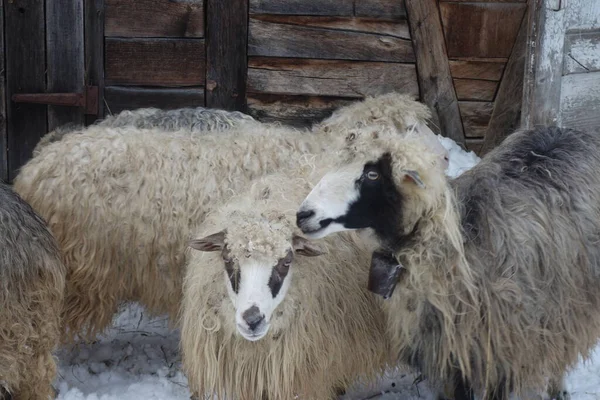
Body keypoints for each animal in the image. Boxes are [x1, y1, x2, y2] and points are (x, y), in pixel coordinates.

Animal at [292, 126, 600, 400]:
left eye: (372, 174)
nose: (303, 215)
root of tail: (565, 129)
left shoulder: (500, 351)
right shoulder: (449, 352)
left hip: (570, 299)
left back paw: (559, 389)